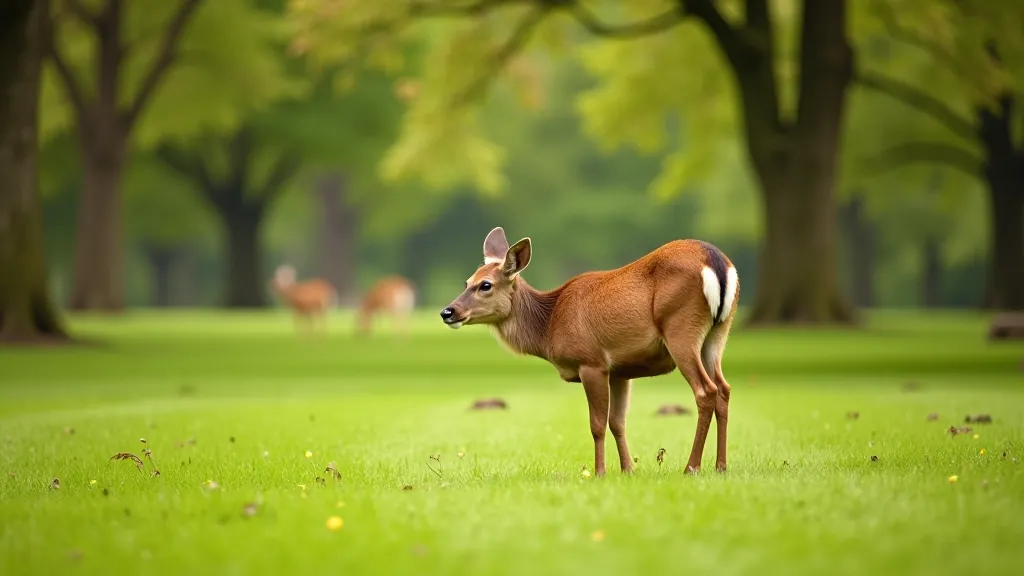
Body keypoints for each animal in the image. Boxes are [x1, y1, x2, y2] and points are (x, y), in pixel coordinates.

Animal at [439, 227, 740, 477]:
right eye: (467, 282)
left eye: (485, 285)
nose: (447, 312)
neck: (549, 325)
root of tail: (716, 262)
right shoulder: (621, 371)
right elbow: (618, 422)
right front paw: (628, 470)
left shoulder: (591, 361)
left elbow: (597, 424)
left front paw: (599, 472)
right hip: (718, 334)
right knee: (724, 388)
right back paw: (721, 466)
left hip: (680, 328)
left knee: (706, 390)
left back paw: (692, 467)